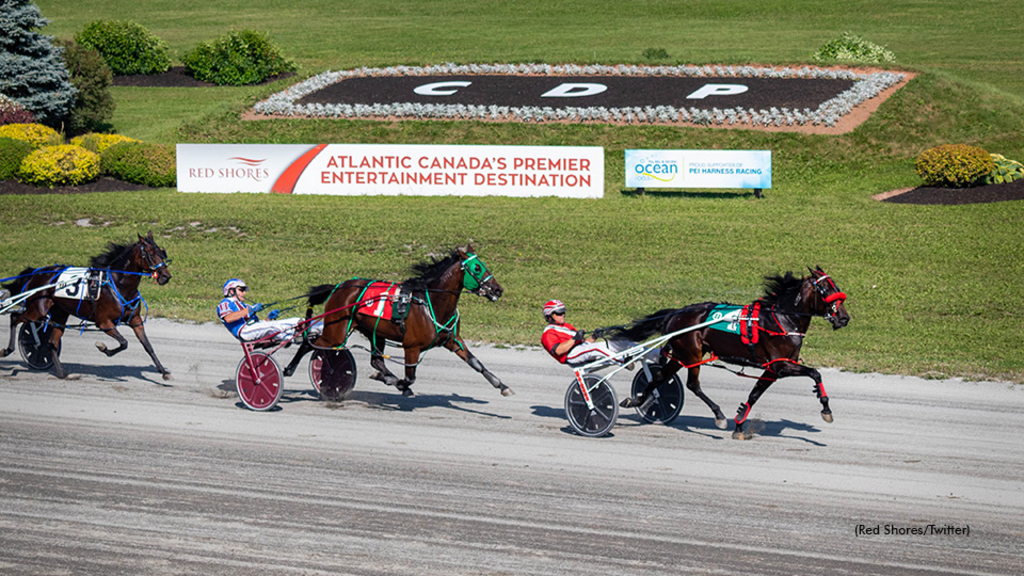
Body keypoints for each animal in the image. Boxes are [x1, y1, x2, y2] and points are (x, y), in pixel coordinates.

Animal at [1, 230, 173, 379]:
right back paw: (7, 350)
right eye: (150, 254)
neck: (118, 285)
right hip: (37, 309)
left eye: (161, 252)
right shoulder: (104, 323)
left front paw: (163, 372)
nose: (166, 276)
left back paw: (62, 374)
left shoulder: (135, 320)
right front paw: (103, 347)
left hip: (59, 313)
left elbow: (148, 346)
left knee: (51, 342)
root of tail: (36, 273)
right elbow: (124, 343)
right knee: (15, 317)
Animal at [610, 266, 851, 438]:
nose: (844, 318)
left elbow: (754, 394)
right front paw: (826, 409)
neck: (783, 319)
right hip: (692, 354)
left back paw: (636, 401)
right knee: (692, 384)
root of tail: (677, 313)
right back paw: (718, 415)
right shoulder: (780, 365)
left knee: (660, 376)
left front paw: (739, 426)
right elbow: (815, 373)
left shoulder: (772, 370)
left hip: (680, 356)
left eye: (835, 286)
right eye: (826, 290)